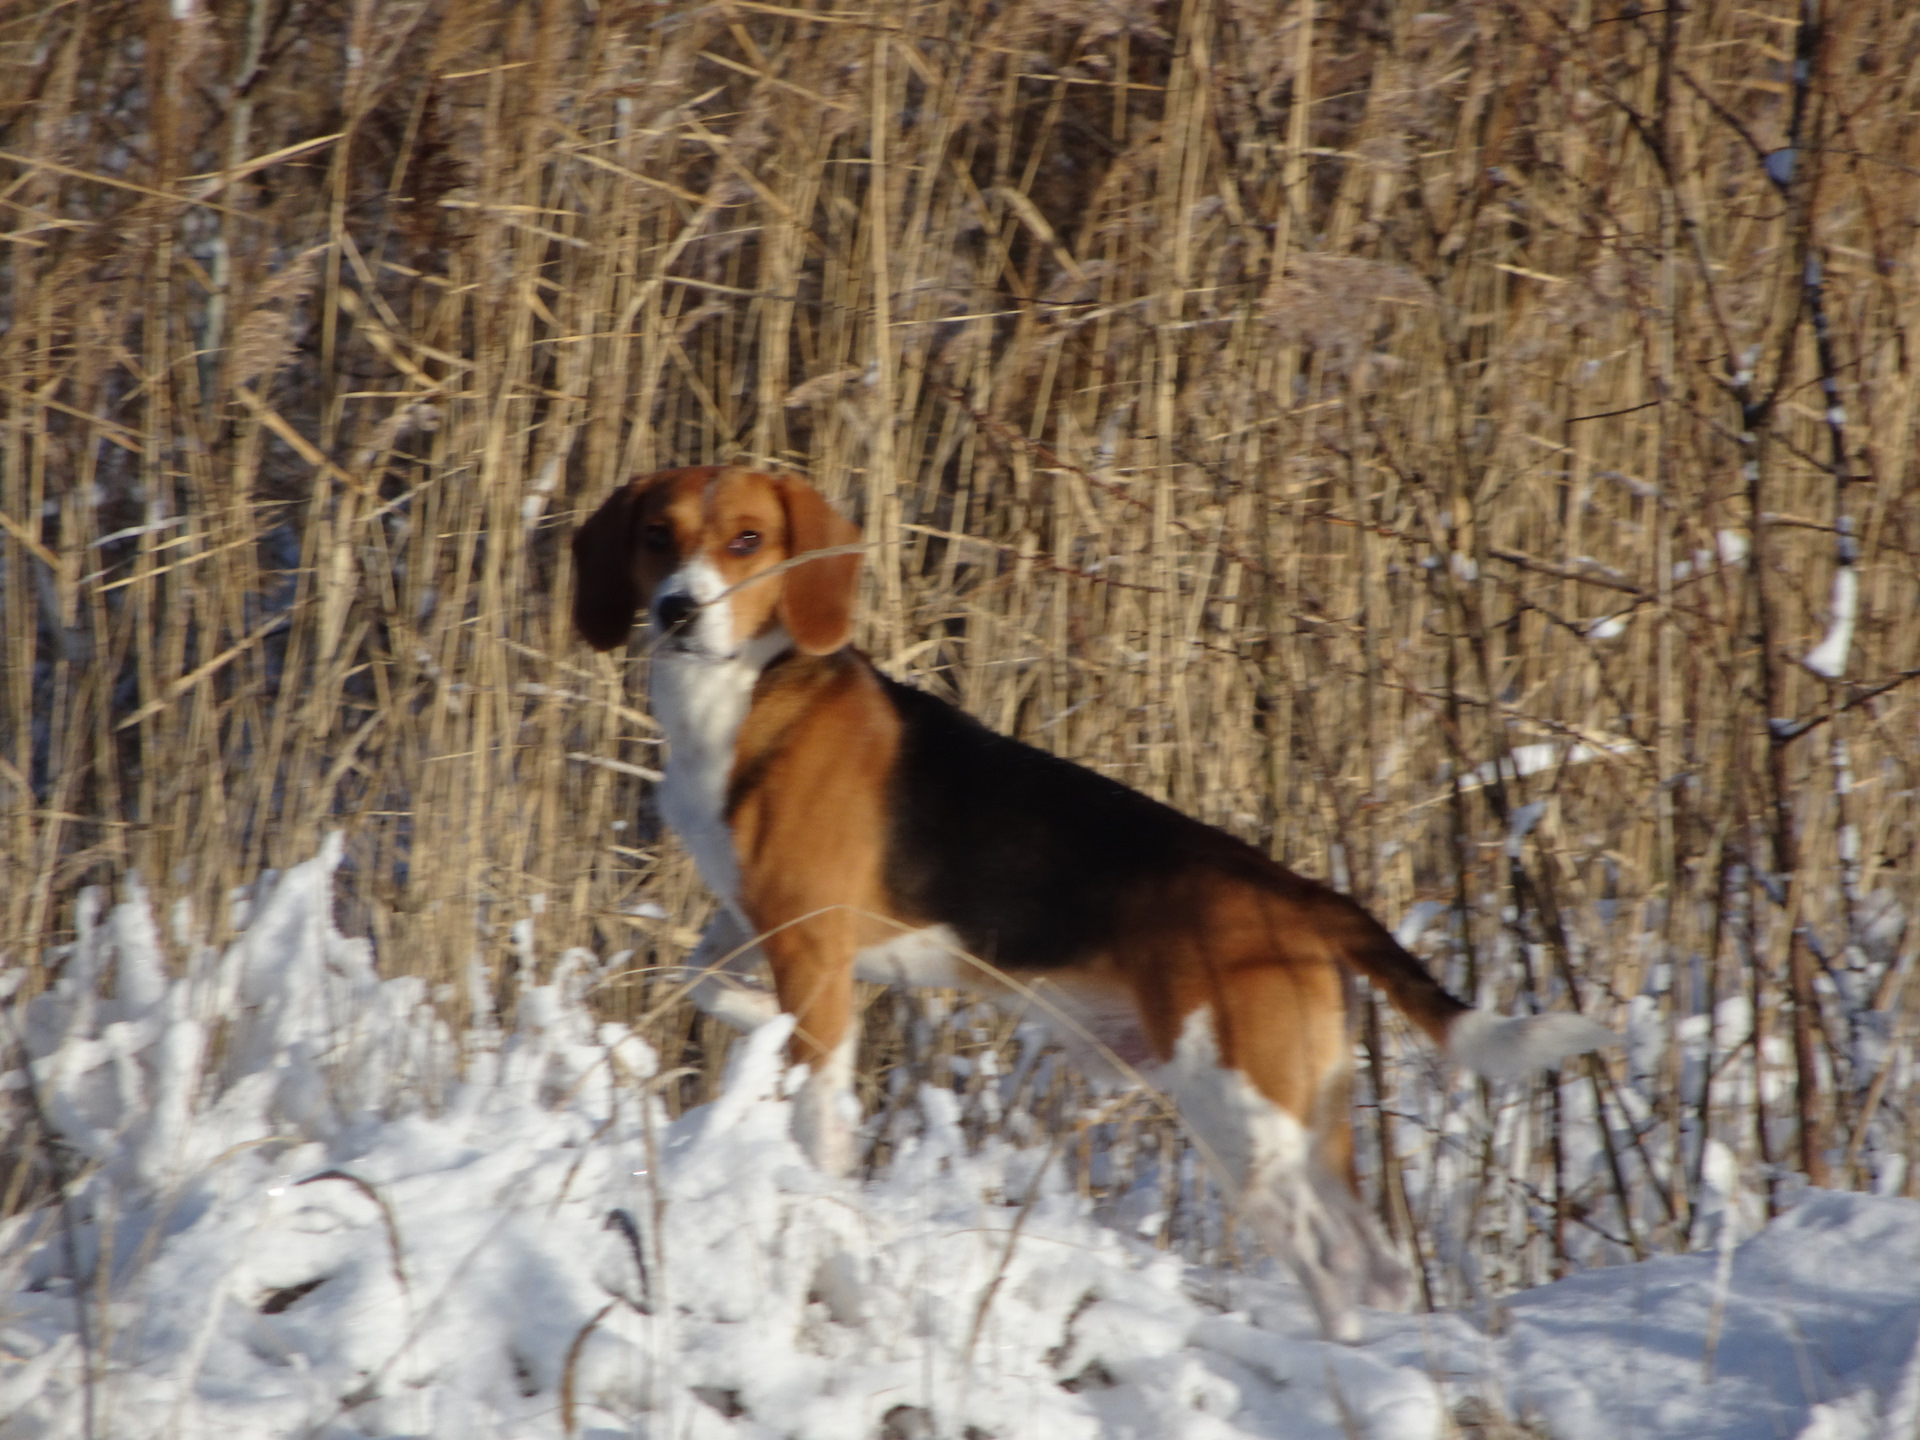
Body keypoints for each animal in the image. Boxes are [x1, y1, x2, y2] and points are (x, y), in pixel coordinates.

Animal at [564, 468, 1605, 1336]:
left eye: (747, 540)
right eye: (656, 535)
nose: (677, 608)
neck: (752, 690)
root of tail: (1300, 895)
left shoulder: (811, 950)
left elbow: (819, 1104)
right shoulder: (755, 925)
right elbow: (709, 983)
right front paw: (755, 1029)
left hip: (1236, 1110)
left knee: (1333, 1262)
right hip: (1307, 1118)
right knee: (1378, 1270)